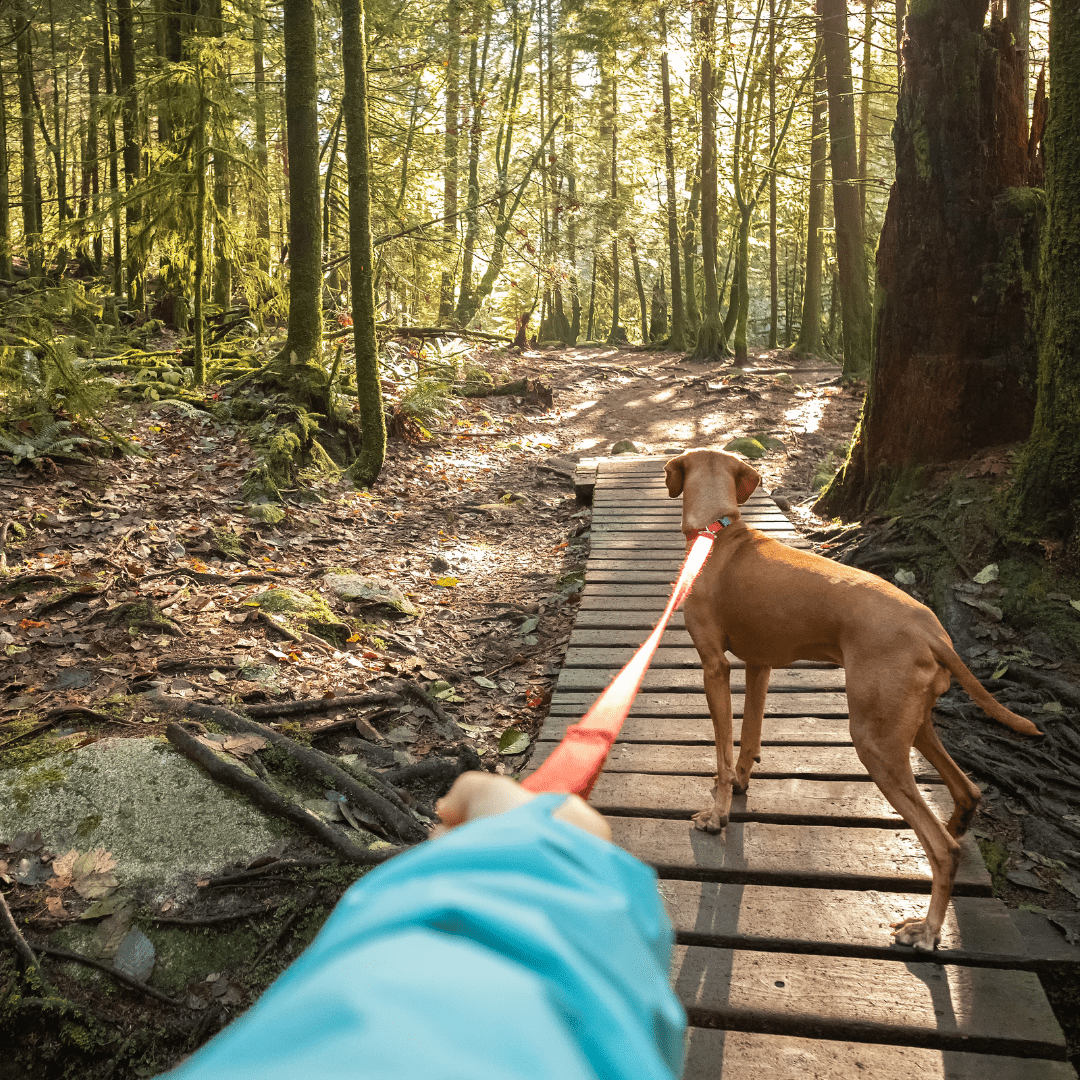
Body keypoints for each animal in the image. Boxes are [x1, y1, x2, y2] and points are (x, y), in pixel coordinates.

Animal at [660, 451, 1041, 950]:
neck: (719, 532)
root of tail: (932, 632)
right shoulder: (760, 665)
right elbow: (748, 739)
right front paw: (741, 784)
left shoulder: (714, 668)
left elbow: (723, 751)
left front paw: (717, 815)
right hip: (909, 726)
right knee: (967, 789)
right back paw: (959, 824)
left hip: (873, 741)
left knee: (944, 849)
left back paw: (927, 929)